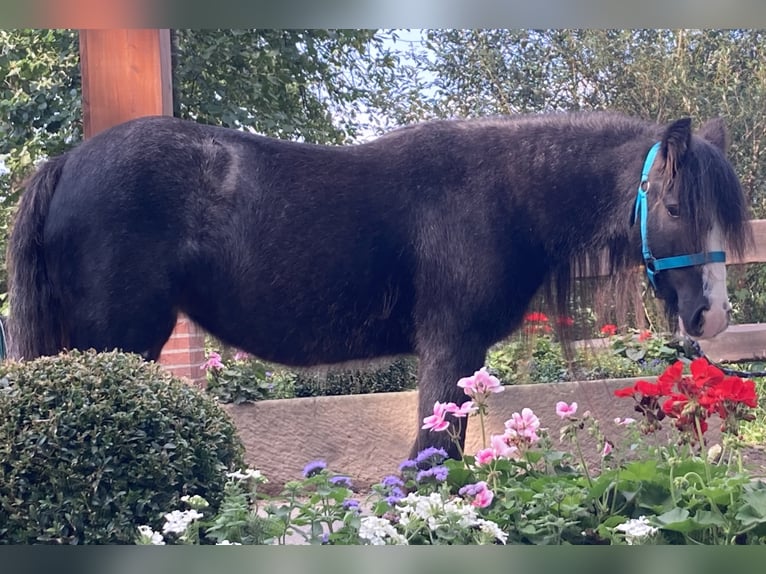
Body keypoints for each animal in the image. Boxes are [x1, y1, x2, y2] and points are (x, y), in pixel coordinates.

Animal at [6, 112, 752, 460]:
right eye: (677, 205)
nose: (711, 314)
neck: (500, 195)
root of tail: (68, 160)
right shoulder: (450, 349)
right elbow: (434, 454)